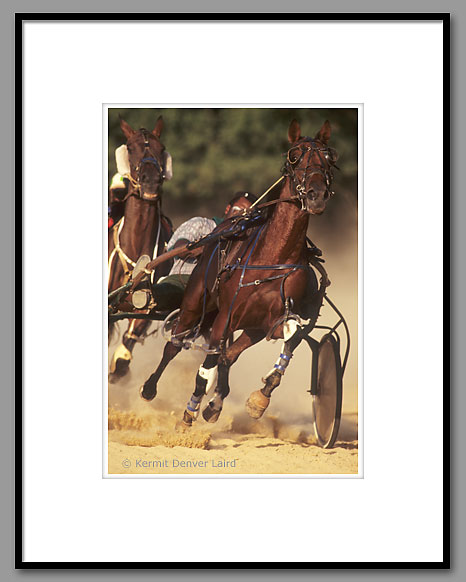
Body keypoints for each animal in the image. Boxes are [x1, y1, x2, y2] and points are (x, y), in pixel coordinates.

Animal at [140, 118, 336, 426]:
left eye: (329, 157)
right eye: (294, 155)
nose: (317, 195)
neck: (274, 257)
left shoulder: (276, 319)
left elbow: (292, 336)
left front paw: (260, 397)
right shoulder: (226, 316)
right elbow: (205, 365)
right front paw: (190, 410)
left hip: (251, 327)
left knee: (228, 355)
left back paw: (215, 403)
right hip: (195, 301)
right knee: (175, 345)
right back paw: (151, 389)